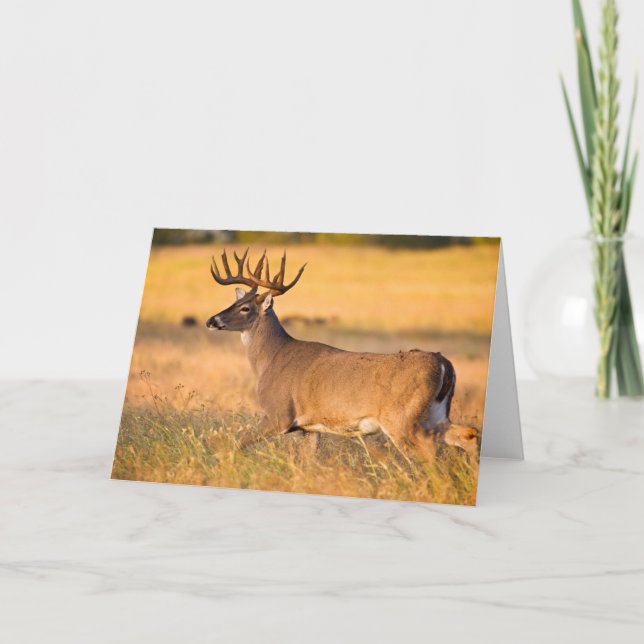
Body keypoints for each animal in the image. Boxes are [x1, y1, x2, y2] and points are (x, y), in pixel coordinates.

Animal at [205, 249, 480, 460]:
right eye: (233, 303)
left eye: (244, 308)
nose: (211, 320)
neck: (271, 359)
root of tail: (444, 363)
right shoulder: (310, 428)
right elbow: (306, 464)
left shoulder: (279, 414)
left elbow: (236, 444)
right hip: (436, 412)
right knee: (466, 434)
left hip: (402, 417)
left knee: (427, 447)